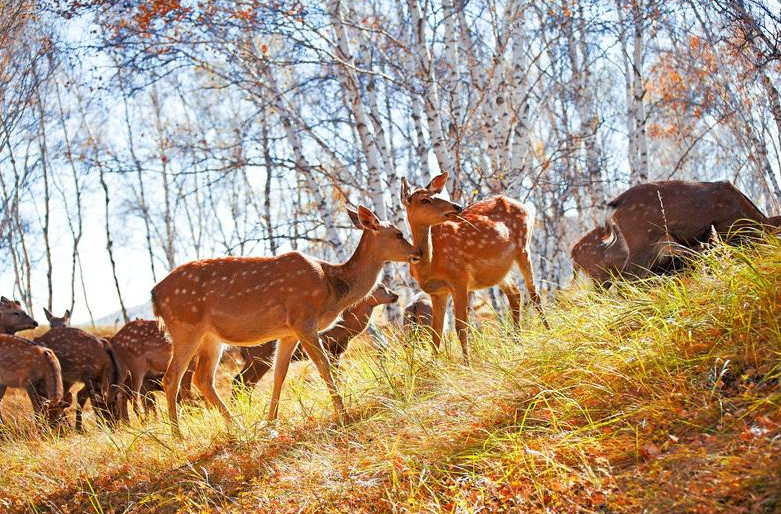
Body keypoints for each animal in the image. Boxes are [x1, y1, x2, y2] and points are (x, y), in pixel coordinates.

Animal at [232, 280, 400, 388]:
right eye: (380, 287)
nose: (396, 295)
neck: (345, 328)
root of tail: (240, 347)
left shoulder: (337, 352)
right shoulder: (330, 348)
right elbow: (336, 374)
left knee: (245, 383)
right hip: (259, 358)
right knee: (239, 381)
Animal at [400, 170, 544, 362]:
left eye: (437, 195)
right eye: (424, 200)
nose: (457, 206)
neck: (430, 265)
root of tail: (526, 207)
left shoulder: (460, 280)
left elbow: (461, 327)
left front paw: (466, 364)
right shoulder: (437, 291)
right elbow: (436, 332)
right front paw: (435, 365)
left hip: (524, 247)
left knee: (534, 294)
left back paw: (548, 332)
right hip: (500, 270)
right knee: (515, 294)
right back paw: (517, 342)